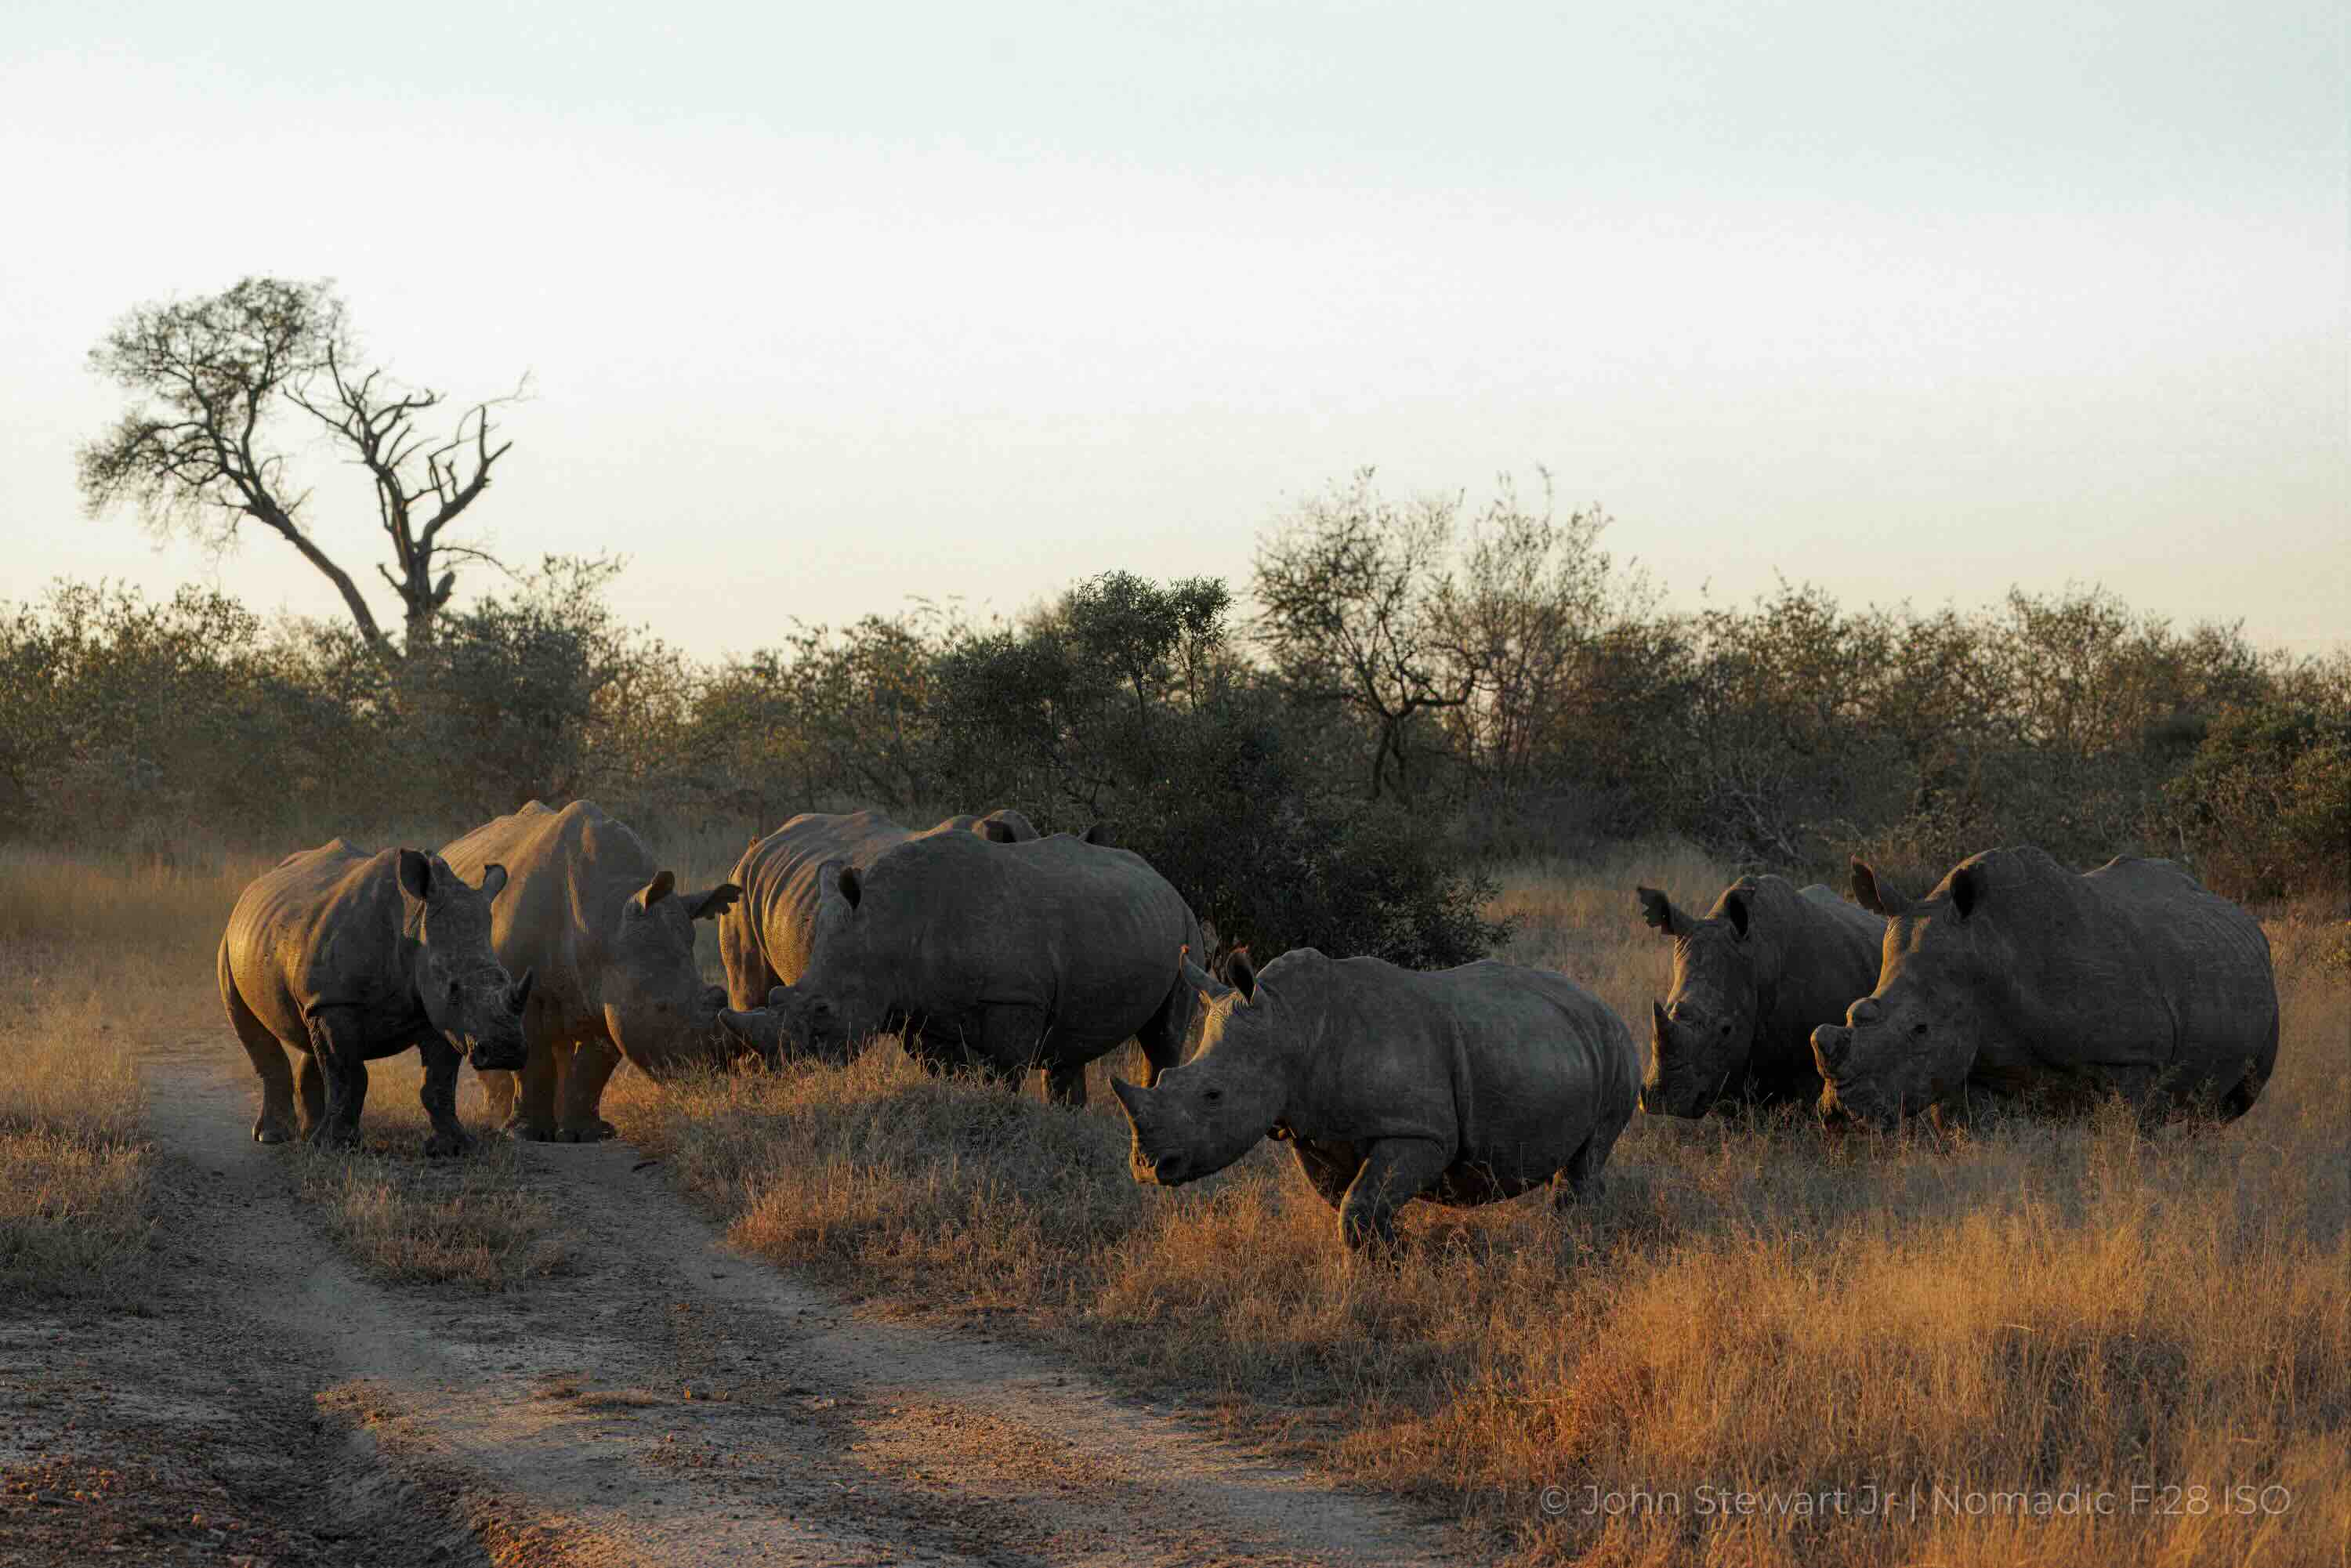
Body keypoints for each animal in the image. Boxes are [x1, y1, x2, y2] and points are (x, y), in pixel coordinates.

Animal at [218, 841, 533, 1153]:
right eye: (453, 990)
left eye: (507, 978)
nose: (505, 1051)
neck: (415, 926)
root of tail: (252, 889)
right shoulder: (337, 1002)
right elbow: (350, 1074)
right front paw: (337, 1146)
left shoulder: (441, 1017)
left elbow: (439, 1082)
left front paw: (454, 1148)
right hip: (230, 942)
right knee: (253, 1024)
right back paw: (274, 1137)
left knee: (309, 1031)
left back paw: (309, 1135)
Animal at [441, 801, 742, 1142]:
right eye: (662, 1008)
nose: (711, 1072)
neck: (605, 920)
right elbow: (533, 1059)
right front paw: (525, 1134)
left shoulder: (611, 988)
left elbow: (595, 1064)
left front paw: (588, 1134)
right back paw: (498, 1120)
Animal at [756, 827, 1203, 1104]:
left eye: (823, 1009)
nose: (792, 1069)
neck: (889, 928)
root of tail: (1164, 883)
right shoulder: (921, 1009)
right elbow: (950, 1072)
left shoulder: (1014, 999)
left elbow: (1003, 1073)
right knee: (1069, 1049)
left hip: (1186, 930)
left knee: (1163, 1039)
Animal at [1110, 948, 1639, 1251]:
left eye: (1213, 1095)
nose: (1147, 1167)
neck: (1291, 1026)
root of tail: (1599, 1002)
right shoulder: (1313, 1129)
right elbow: (1353, 1204)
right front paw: (1396, 1253)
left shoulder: (1421, 1132)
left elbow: (1359, 1205)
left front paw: (1390, 1269)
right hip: (1553, 1043)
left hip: (1617, 1048)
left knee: (1588, 1157)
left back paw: (1574, 1240)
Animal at [1812, 847, 2279, 1129]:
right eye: (1851, 1013)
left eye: (1920, 1030)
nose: (1841, 1110)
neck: (1989, 950)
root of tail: (2237, 913)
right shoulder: (1968, 1068)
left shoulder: (2133, 1058)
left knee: (2227, 1108)